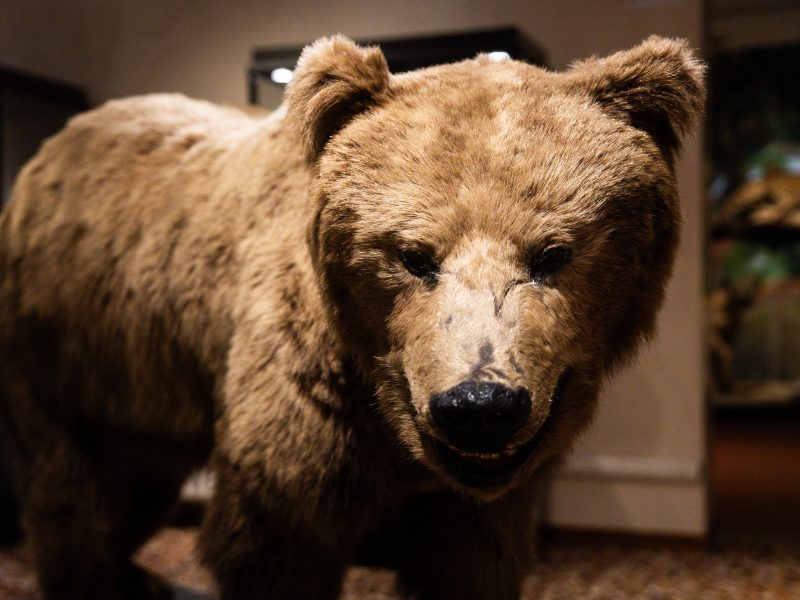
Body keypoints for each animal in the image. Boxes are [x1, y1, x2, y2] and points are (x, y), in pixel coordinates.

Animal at [0, 35, 704, 600]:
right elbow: (278, 539)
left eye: (553, 254)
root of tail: (54, 144)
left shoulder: (487, 498)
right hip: (56, 354)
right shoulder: (305, 406)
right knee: (73, 495)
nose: (480, 405)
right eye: (413, 255)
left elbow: (471, 557)